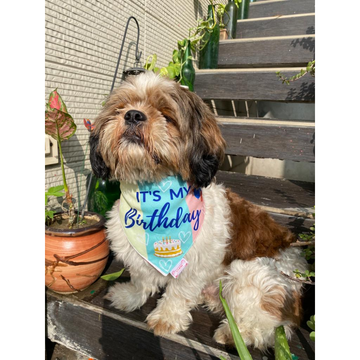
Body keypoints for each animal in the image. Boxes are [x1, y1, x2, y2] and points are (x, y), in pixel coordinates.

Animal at [88, 71, 308, 352]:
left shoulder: (195, 262)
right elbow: (142, 279)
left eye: (166, 115)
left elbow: (179, 292)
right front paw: (131, 296)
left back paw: (234, 332)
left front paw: (166, 317)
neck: (153, 194)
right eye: (121, 108)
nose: (133, 115)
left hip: (252, 273)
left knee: (266, 329)